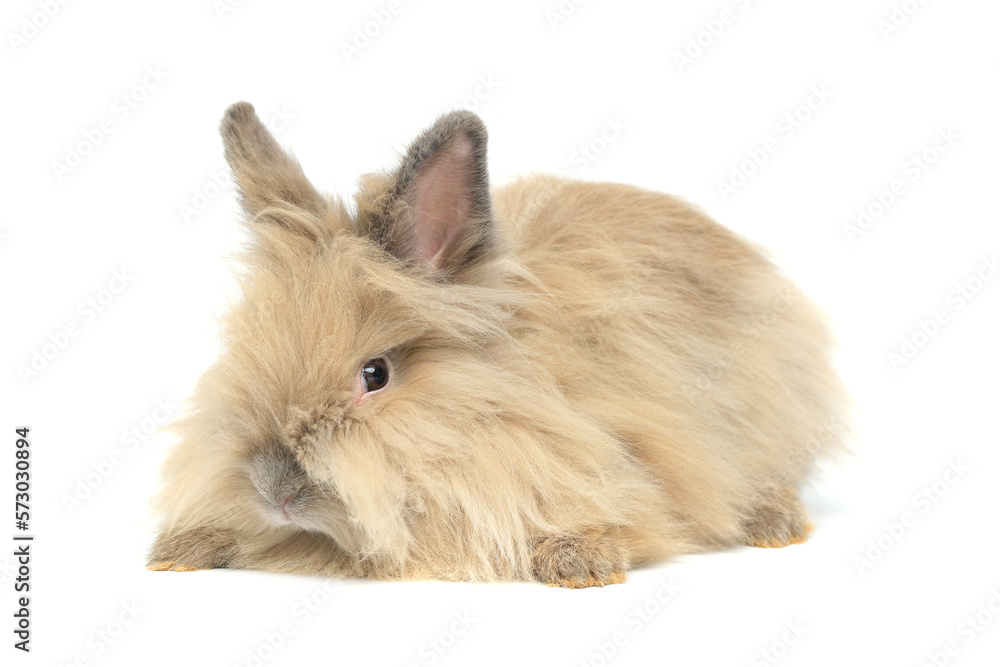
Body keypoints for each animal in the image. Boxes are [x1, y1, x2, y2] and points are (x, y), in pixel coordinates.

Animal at [150, 102, 852, 588]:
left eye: (375, 374)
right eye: (244, 352)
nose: (275, 491)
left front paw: (578, 561)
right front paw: (180, 550)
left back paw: (775, 523)